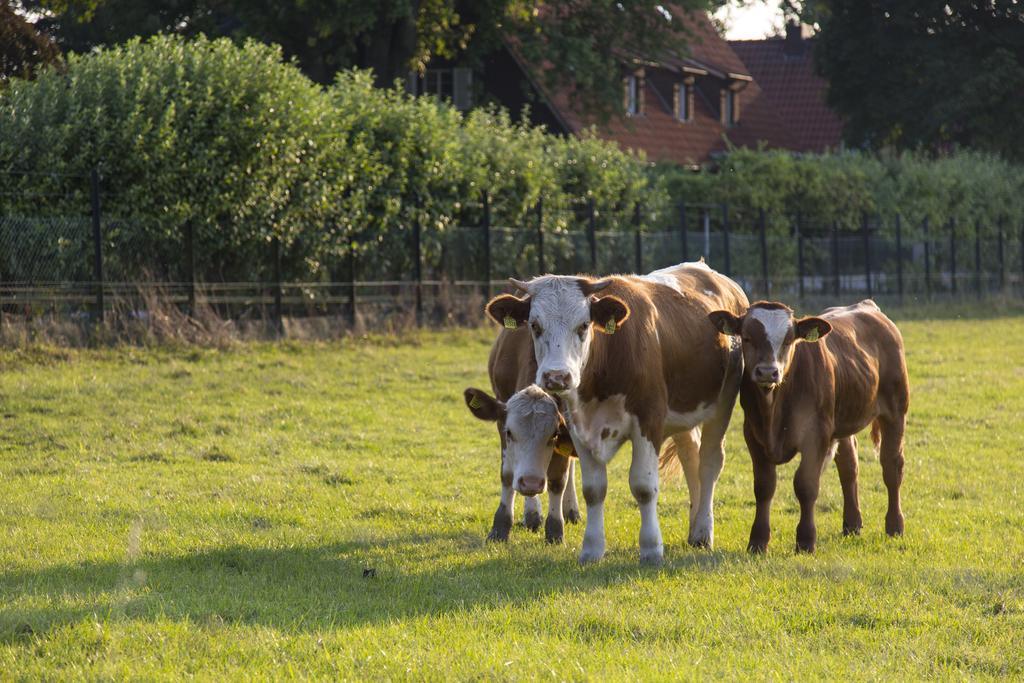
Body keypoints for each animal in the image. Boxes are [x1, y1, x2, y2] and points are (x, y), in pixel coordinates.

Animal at [462, 325, 577, 544]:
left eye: (554, 435)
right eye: (509, 432)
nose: (531, 483)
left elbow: (558, 479)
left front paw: (555, 531)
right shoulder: (501, 419)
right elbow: (507, 475)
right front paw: (500, 527)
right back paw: (532, 515)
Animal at [483, 264, 749, 565]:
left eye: (584, 325)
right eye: (535, 325)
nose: (557, 377)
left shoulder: (649, 420)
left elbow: (643, 486)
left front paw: (651, 549)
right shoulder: (578, 426)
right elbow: (593, 489)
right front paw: (592, 548)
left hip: (723, 403)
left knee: (709, 463)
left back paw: (703, 531)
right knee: (690, 457)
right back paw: (694, 528)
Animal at [708, 301, 909, 557]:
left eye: (788, 340)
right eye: (746, 338)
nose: (767, 371)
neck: (775, 407)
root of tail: (868, 306)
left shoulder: (816, 437)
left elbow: (805, 485)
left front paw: (805, 540)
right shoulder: (753, 436)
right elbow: (764, 487)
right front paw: (758, 541)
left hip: (895, 411)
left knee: (892, 467)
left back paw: (894, 526)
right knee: (849, 468)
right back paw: (852, 524)